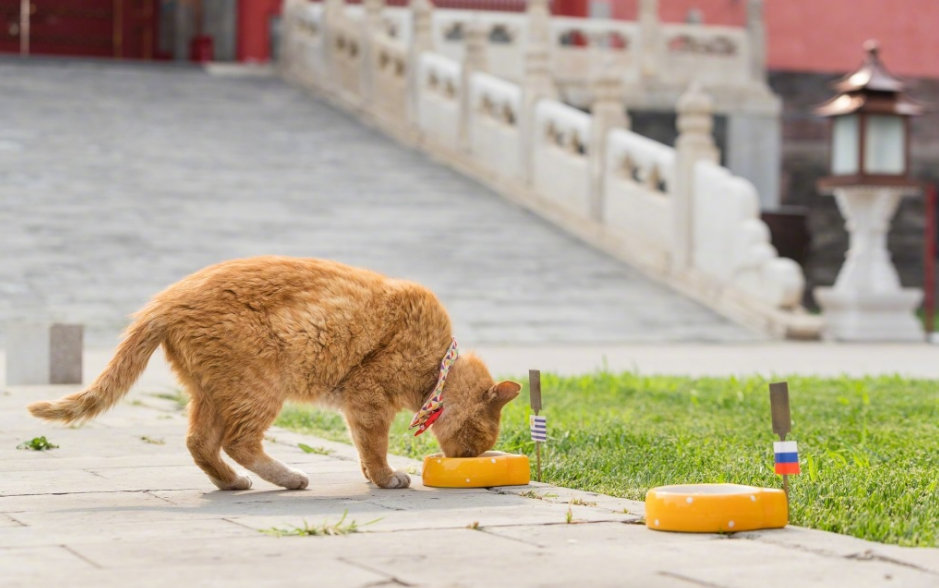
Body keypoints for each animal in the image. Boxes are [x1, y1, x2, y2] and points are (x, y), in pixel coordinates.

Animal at [27, 258, 520, 492]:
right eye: (475, 443)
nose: (468, 459)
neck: (437, 365)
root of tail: (164, 301)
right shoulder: (367, 395)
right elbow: (375, 445)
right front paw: (384, 478)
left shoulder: (355, 404)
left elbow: (364, 446)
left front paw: (368, 474)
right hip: (261, 388)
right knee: (238, 442)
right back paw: (289, 478)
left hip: (212, 393)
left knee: (200, 443)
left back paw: (232, 483)